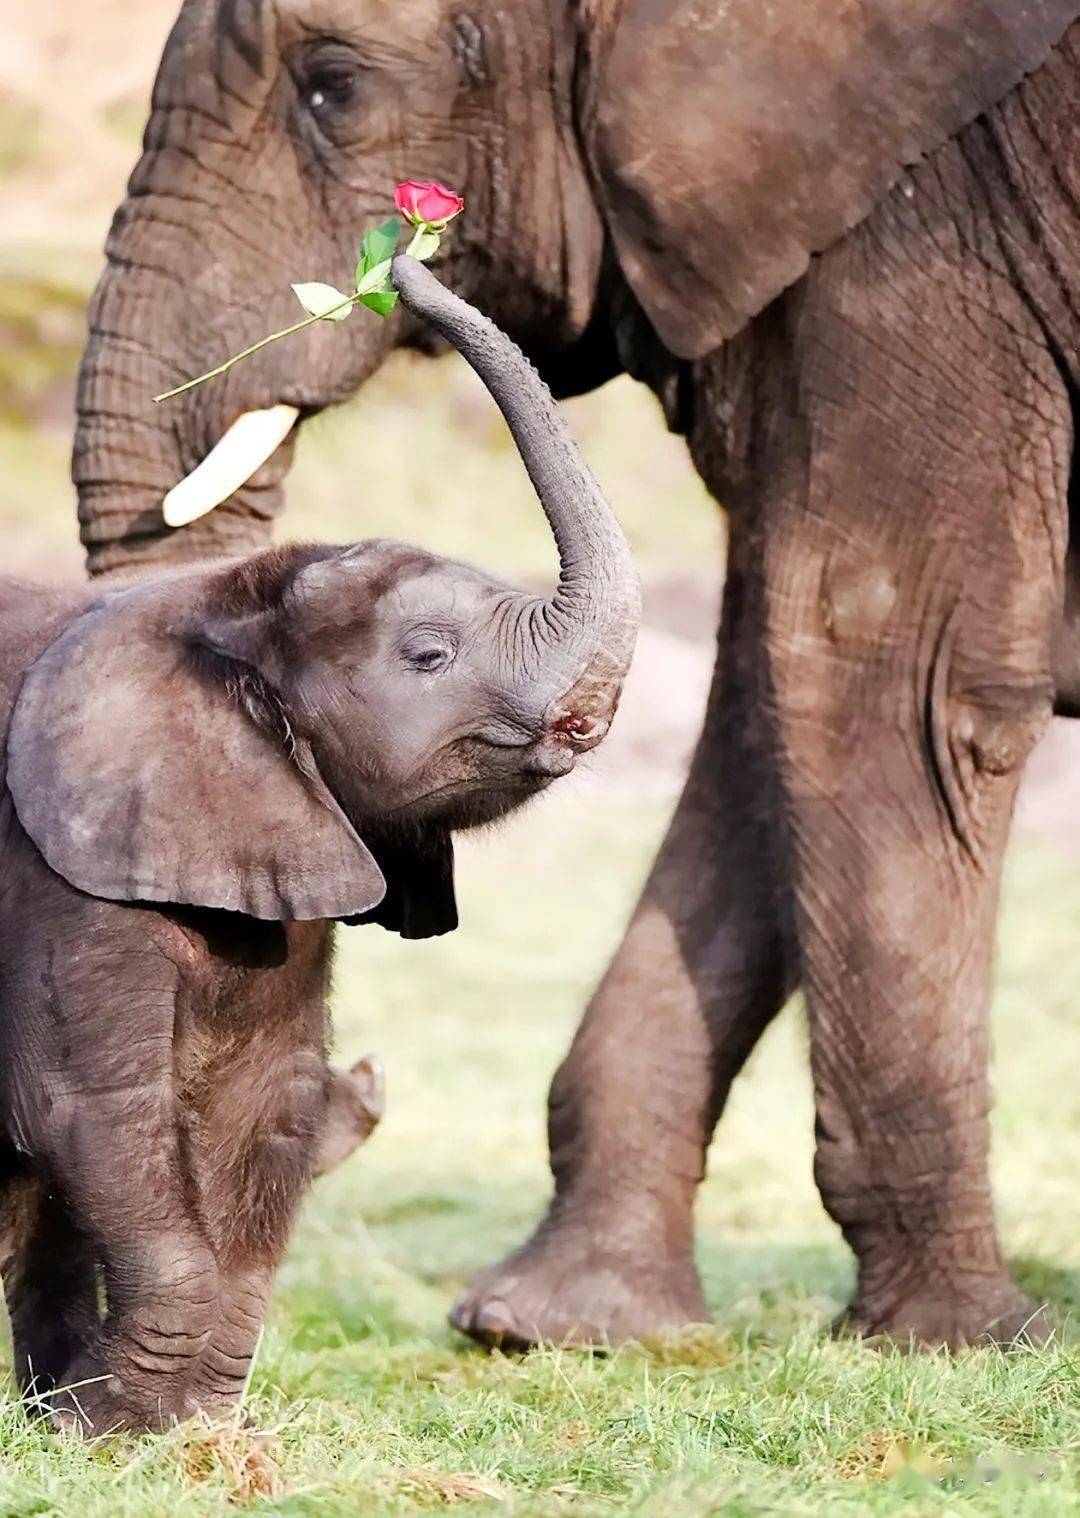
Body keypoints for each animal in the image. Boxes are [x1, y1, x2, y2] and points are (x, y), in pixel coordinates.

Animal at [0, 255, 641, 1426]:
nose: (404, 262)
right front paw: (110, 1434)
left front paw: (175, 1430)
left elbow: (267, 1109)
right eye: (428, 655)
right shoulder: (58, 874)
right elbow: (90, 1112)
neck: (213, 612)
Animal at [74, 0, 1080, 1354]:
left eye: (335, 88)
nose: (410, 255)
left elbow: (889, 674)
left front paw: (958, 1344)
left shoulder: (934, 242)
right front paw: (554, 1330)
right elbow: (768, 701)